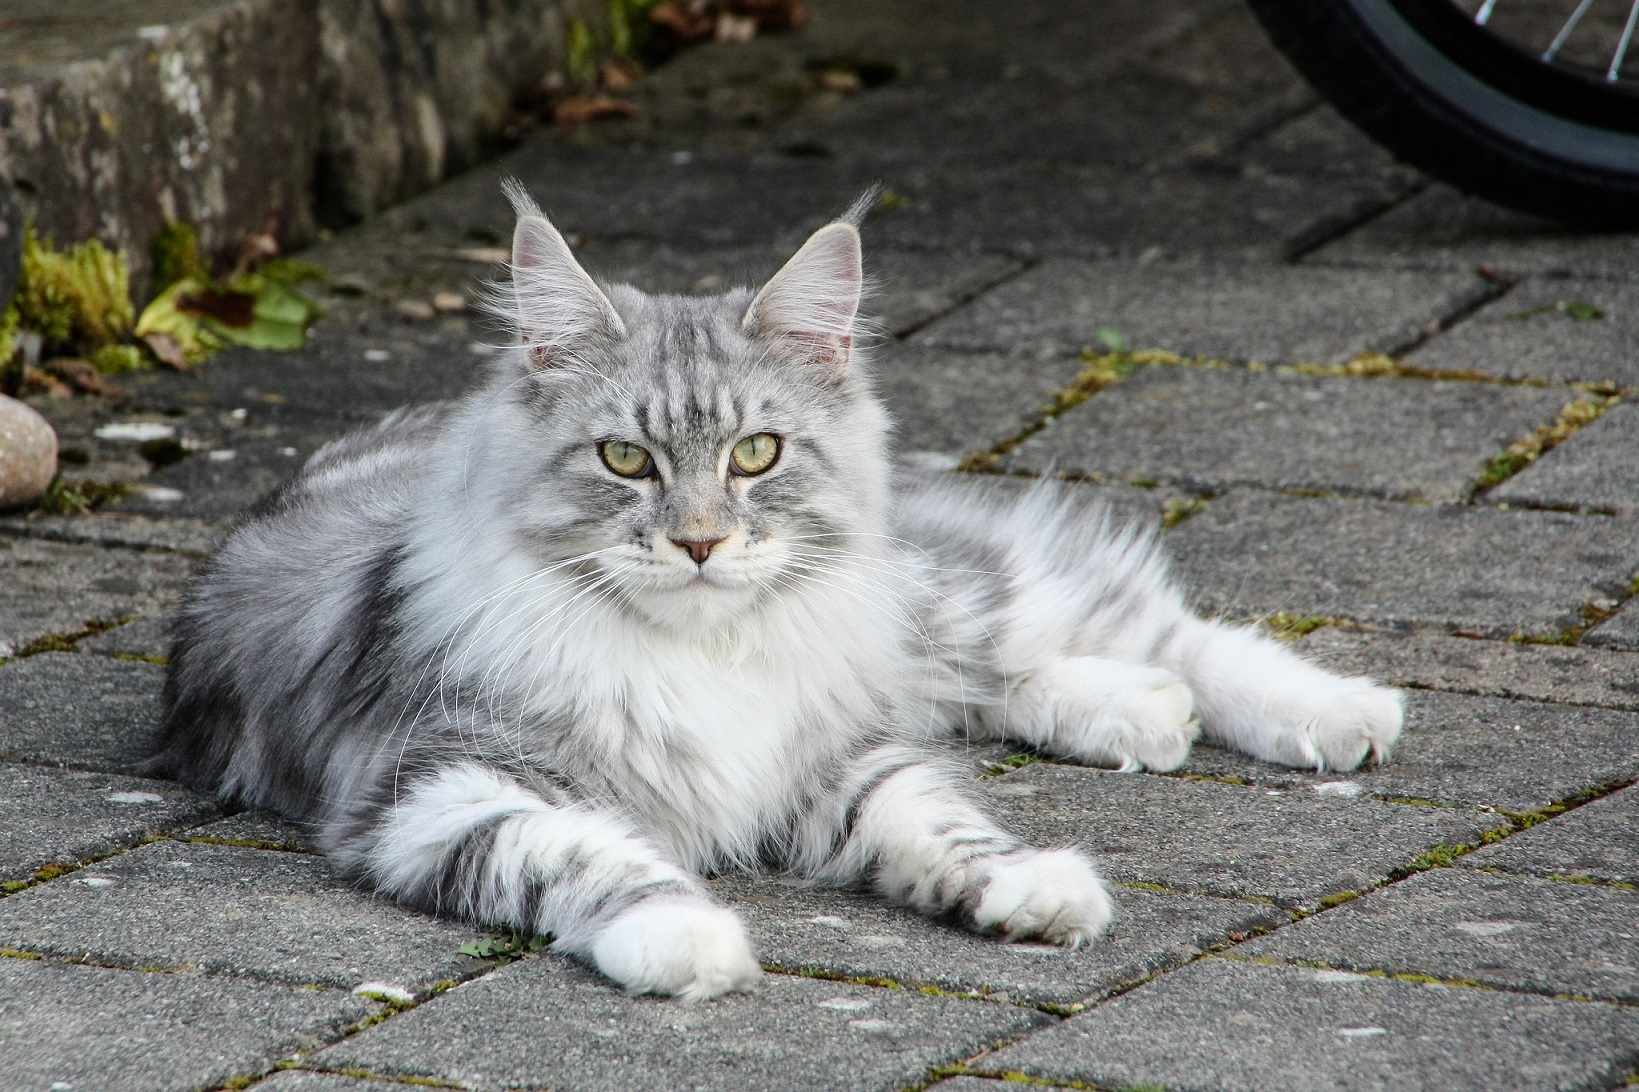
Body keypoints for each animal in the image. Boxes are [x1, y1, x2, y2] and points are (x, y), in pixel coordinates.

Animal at [147, 182, 1402, 996]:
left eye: (755, 454)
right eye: (625, 461)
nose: (702, 542)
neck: (703, 655)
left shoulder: (837, 757)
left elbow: (942, 820)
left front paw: (1031, 889)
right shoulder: (439, 792)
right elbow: (588, 859)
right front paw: (689, 942)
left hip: (934, 600)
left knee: (1157, 628)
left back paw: (1335, 712)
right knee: (1034, 677)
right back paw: (1143, 715)